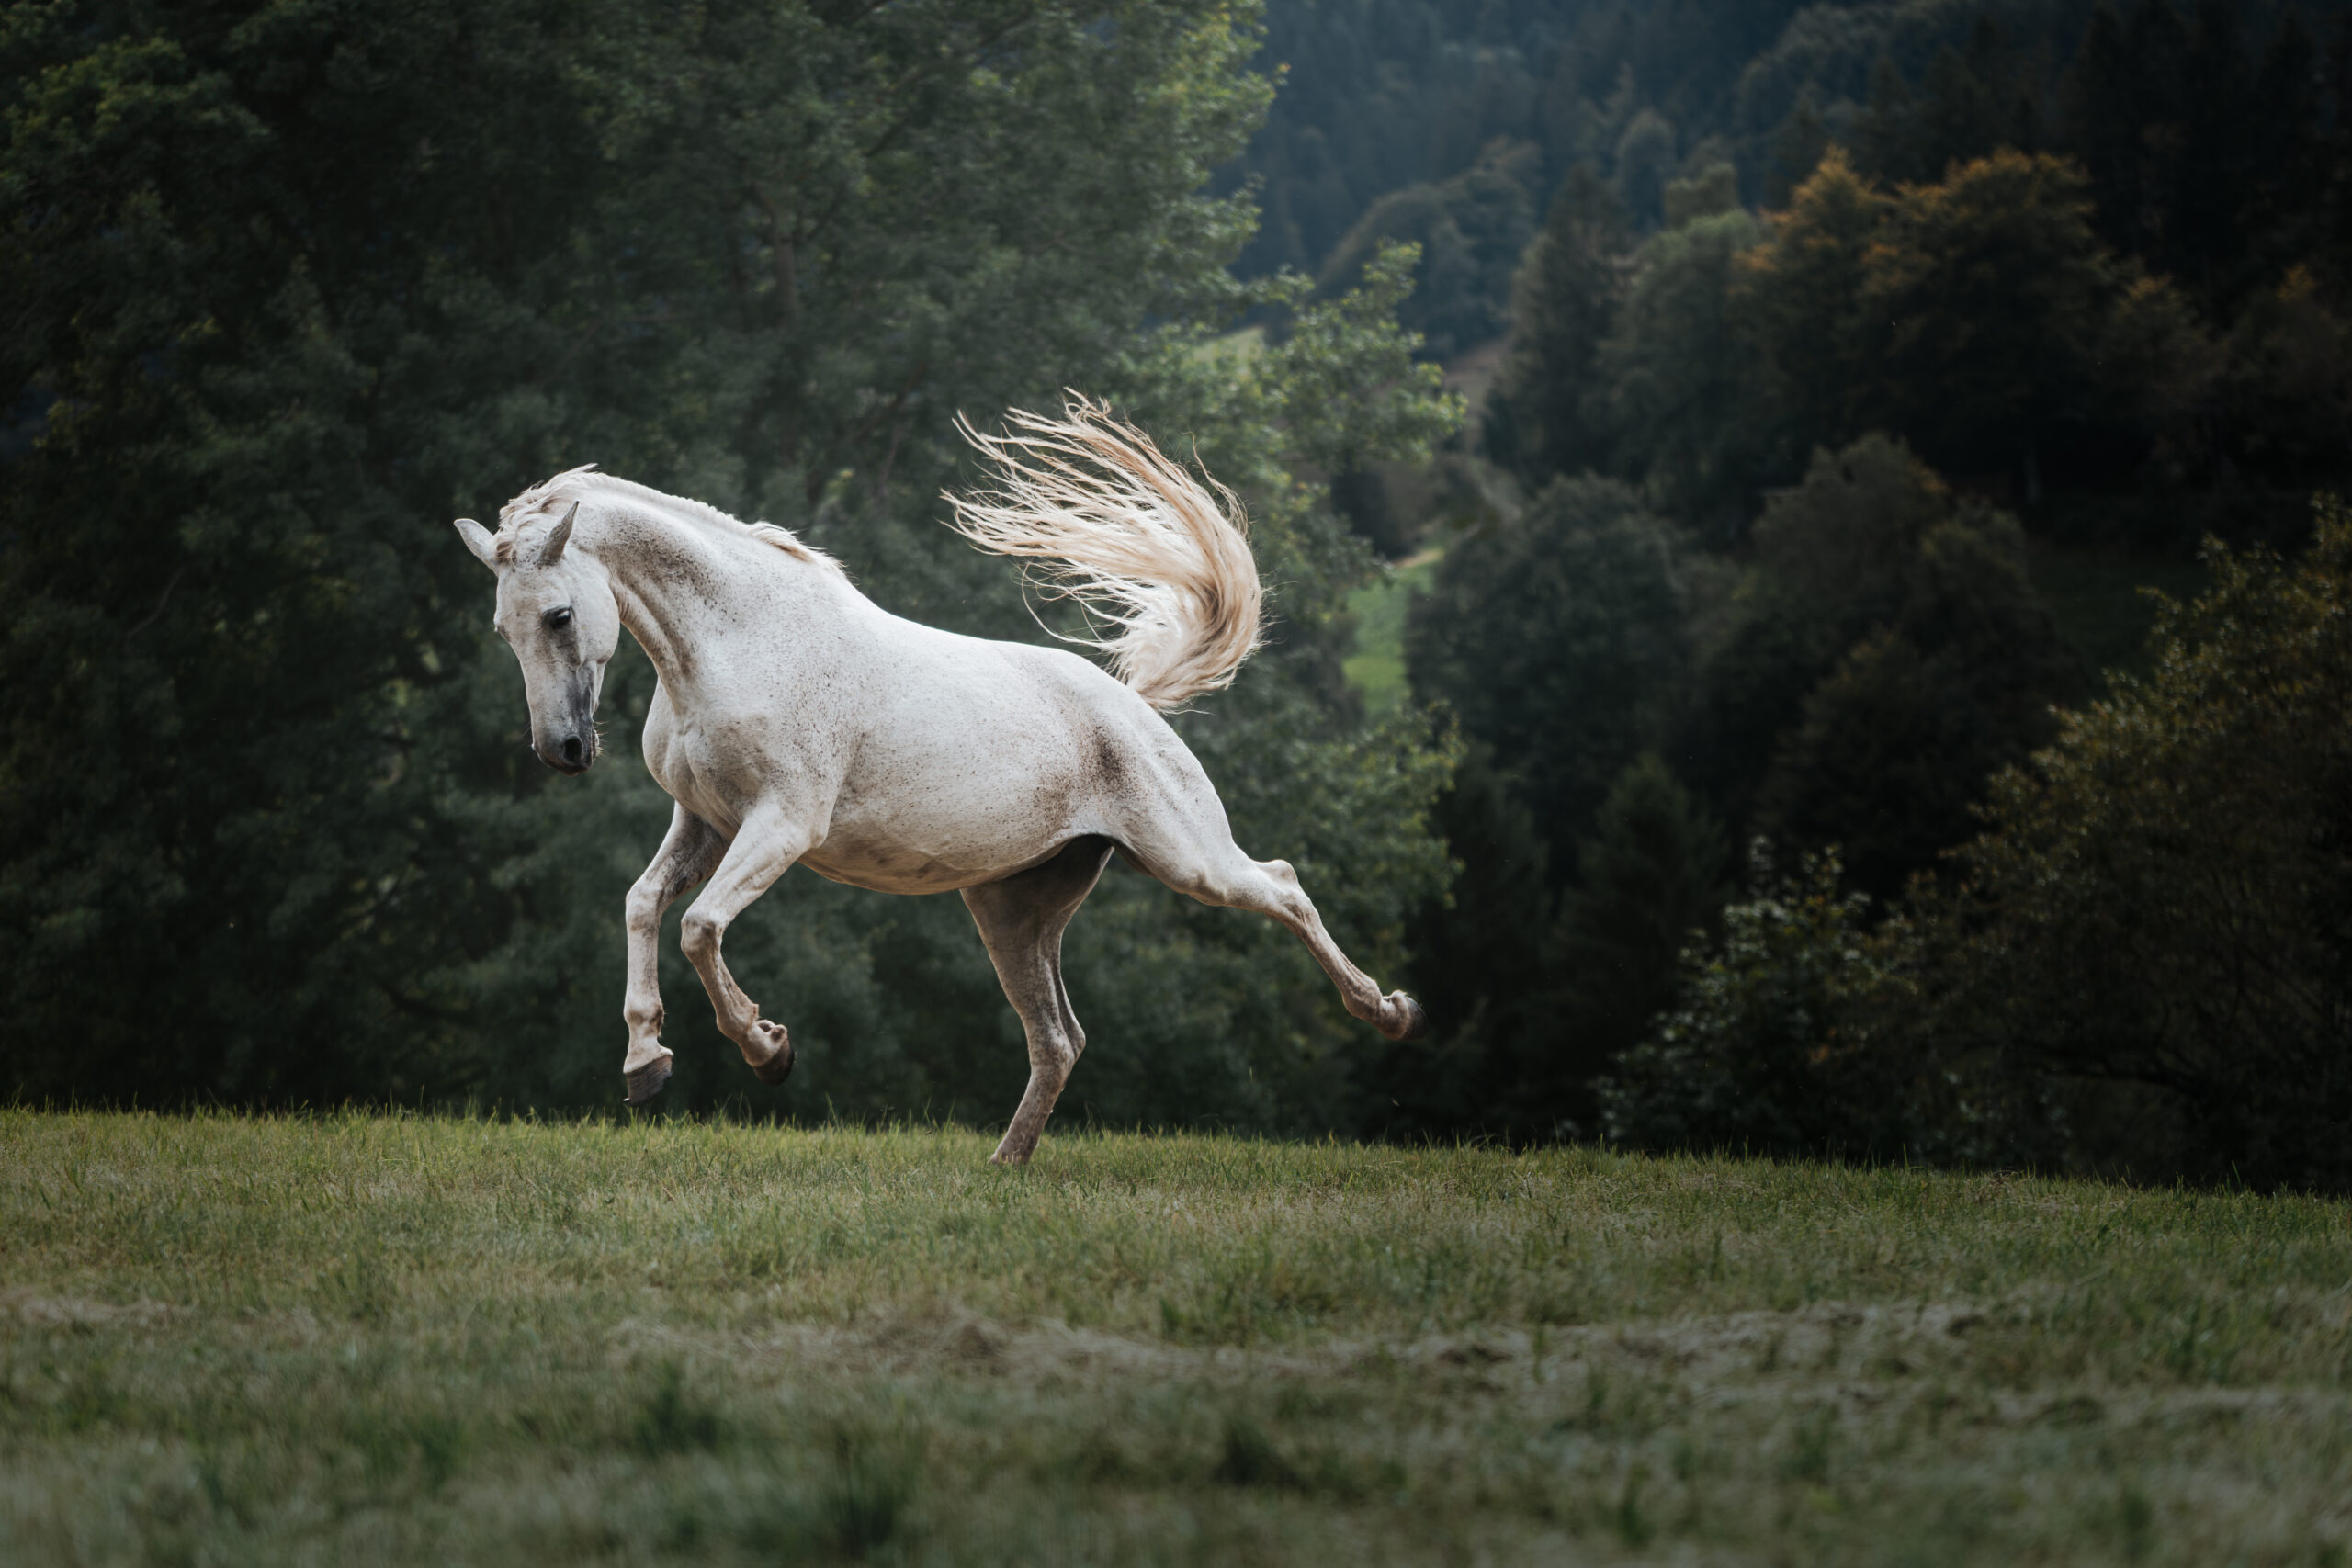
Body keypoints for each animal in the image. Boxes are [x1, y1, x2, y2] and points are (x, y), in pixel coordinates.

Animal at [452, 397, 1427, 1164]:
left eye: (560, 614)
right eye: (501, 630)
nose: (563, 750)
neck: (736, 642)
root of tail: (1127, 701)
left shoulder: (783, 825)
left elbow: (697, 926)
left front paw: (768, 1049)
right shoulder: (705, 820)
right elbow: (643, 905)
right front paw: (646, 1063)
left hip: (1188, 857)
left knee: (1283, 886)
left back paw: (1390, 1012)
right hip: (1012, 909)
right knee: (1059, 1038)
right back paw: (1003, 1165)